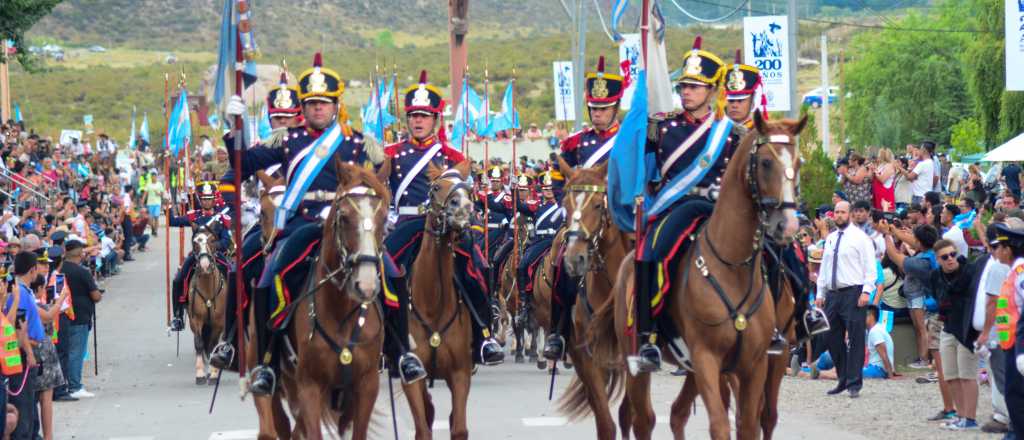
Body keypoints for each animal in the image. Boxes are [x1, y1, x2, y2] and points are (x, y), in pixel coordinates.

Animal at [189, 227, 229, 384]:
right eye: (195, 242)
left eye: (212, 240)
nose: (205, 265)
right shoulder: (196, 320)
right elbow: (199, 343)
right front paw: (200, 374)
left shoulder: (219, 323)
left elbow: (213, 345)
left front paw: (213, 374)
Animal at [395, 160, 479, 440]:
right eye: (435, 188)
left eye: (468, 189)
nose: (463, 209)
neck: (434, 303)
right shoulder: (412, 378)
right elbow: (422, 428)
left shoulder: (460, 373)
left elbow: (459, 427)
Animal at [552, 158, 630, 440]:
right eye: (564, 205)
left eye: (598, 205)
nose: (574, 259)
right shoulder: (586, 357)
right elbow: (605, 422)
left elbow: (628, 415)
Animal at [593, 114, 806, 440]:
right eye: (766, 162)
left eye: (798, 162)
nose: (788, 225)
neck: (731, 267)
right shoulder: (707, 358)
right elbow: (720, 425)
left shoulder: (755, 364)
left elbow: (750, 424)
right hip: (638, 363)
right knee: (642, 419)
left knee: (678, 414)